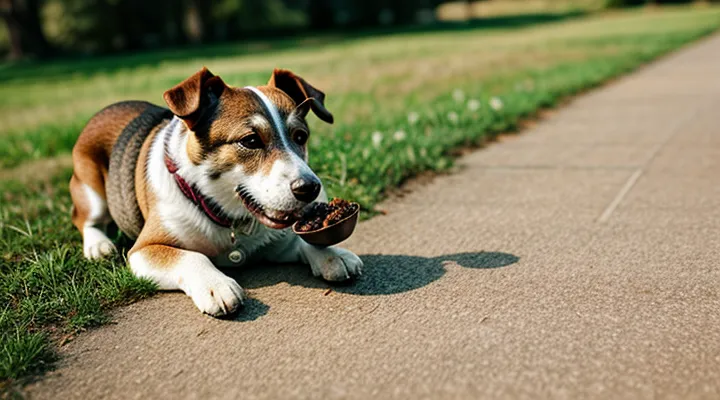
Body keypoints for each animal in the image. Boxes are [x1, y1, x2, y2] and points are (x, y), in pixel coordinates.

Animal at [70, 67, 362, 316]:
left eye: (300, 137)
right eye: (250, 140)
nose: (310, 188)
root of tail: (105, 109)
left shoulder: (274, 243)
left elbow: (299, 241)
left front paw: (332, 254)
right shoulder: (143, 251)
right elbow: (191, 256)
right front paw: (216, 284)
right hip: (90, 188)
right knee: (84, 219)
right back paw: (98, 245)